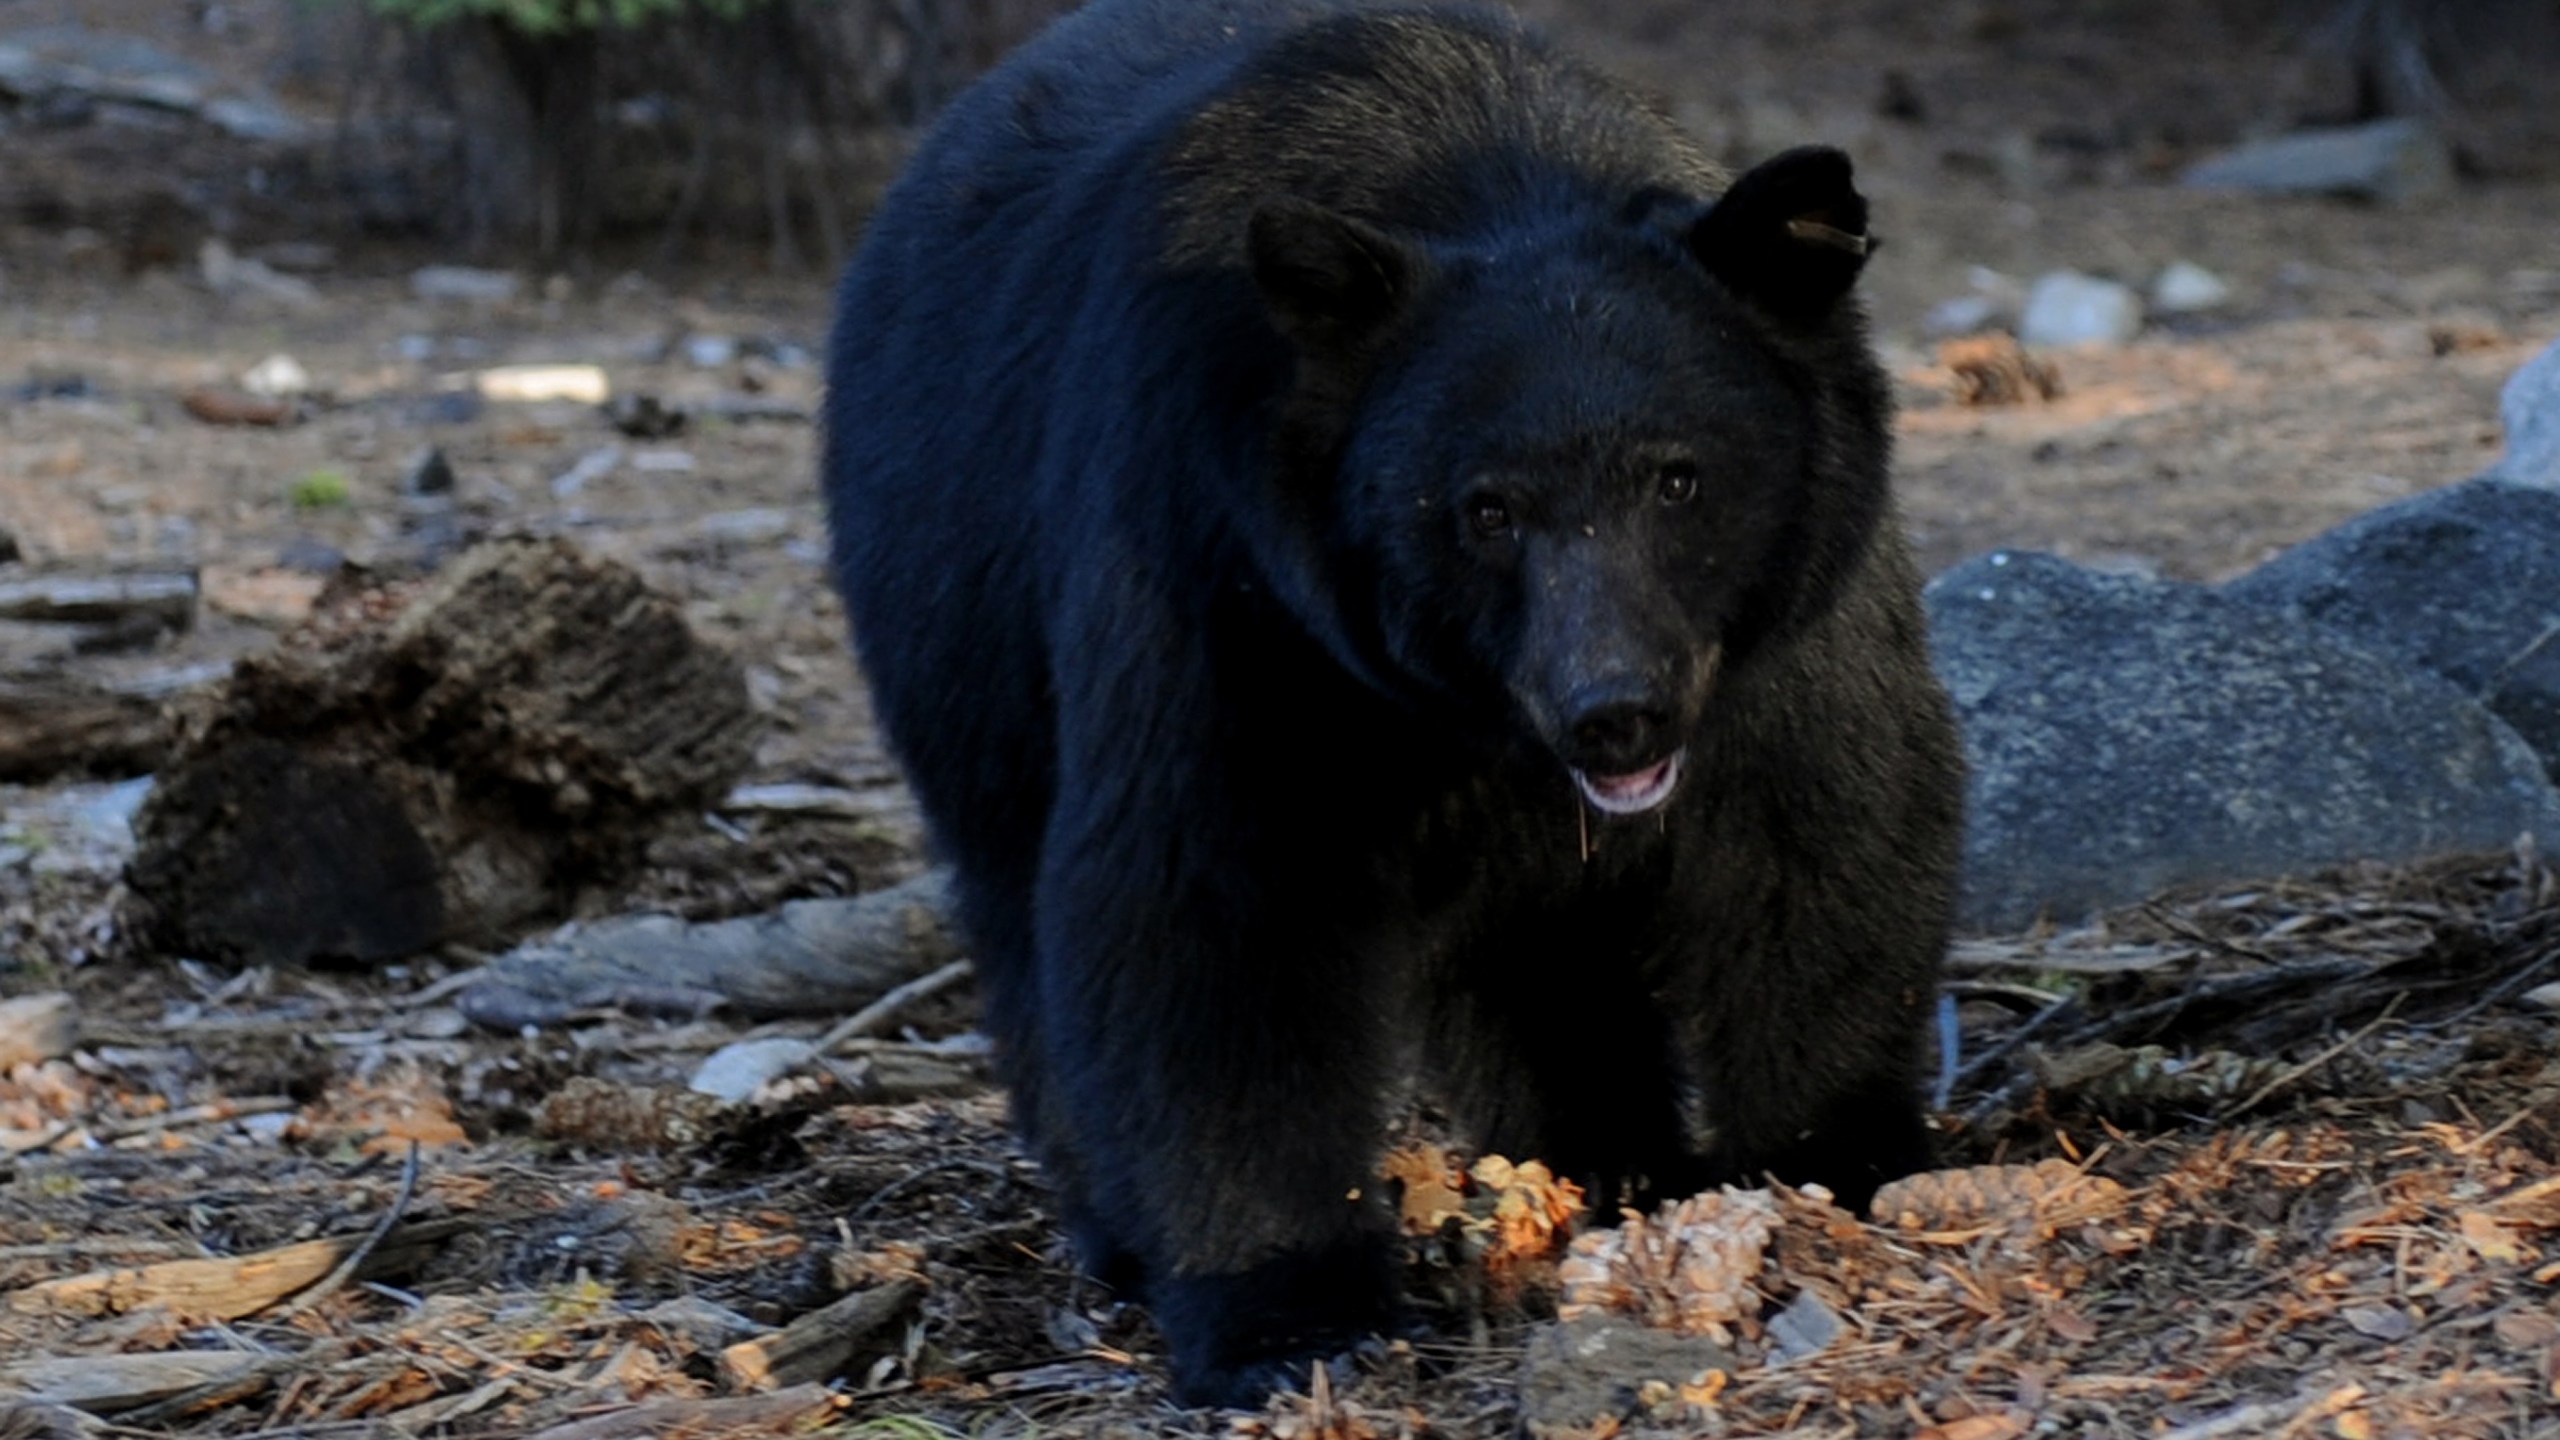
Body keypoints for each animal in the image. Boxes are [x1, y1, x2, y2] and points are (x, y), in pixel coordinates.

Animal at [819, 0, 1955, 1404]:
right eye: (1485, 509)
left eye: (1680, 479)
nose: (1614, 712)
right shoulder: (1229, 580)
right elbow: (1215, 904)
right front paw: (1288, 1313)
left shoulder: (1782, 630)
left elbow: (1824, 829)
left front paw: (1831, 1160)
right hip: (954, 632)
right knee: (1020, 909)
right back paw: (1119, 1228)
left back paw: (1600, 1156)